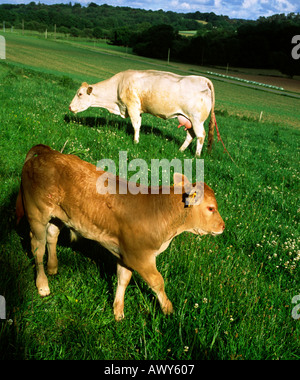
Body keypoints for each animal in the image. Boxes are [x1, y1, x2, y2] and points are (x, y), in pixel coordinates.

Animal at [69, 69, 216, 156]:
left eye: (80, 94)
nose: (70, 107)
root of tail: (204, 80)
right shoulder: (138, 109)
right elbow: (138, 124)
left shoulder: (132, 106)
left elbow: (135, 125)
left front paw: (135, 142)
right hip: (188, 119)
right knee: (190, 135)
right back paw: (180, 150)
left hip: (197, 120)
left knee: (200, 136)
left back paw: (196, 156)